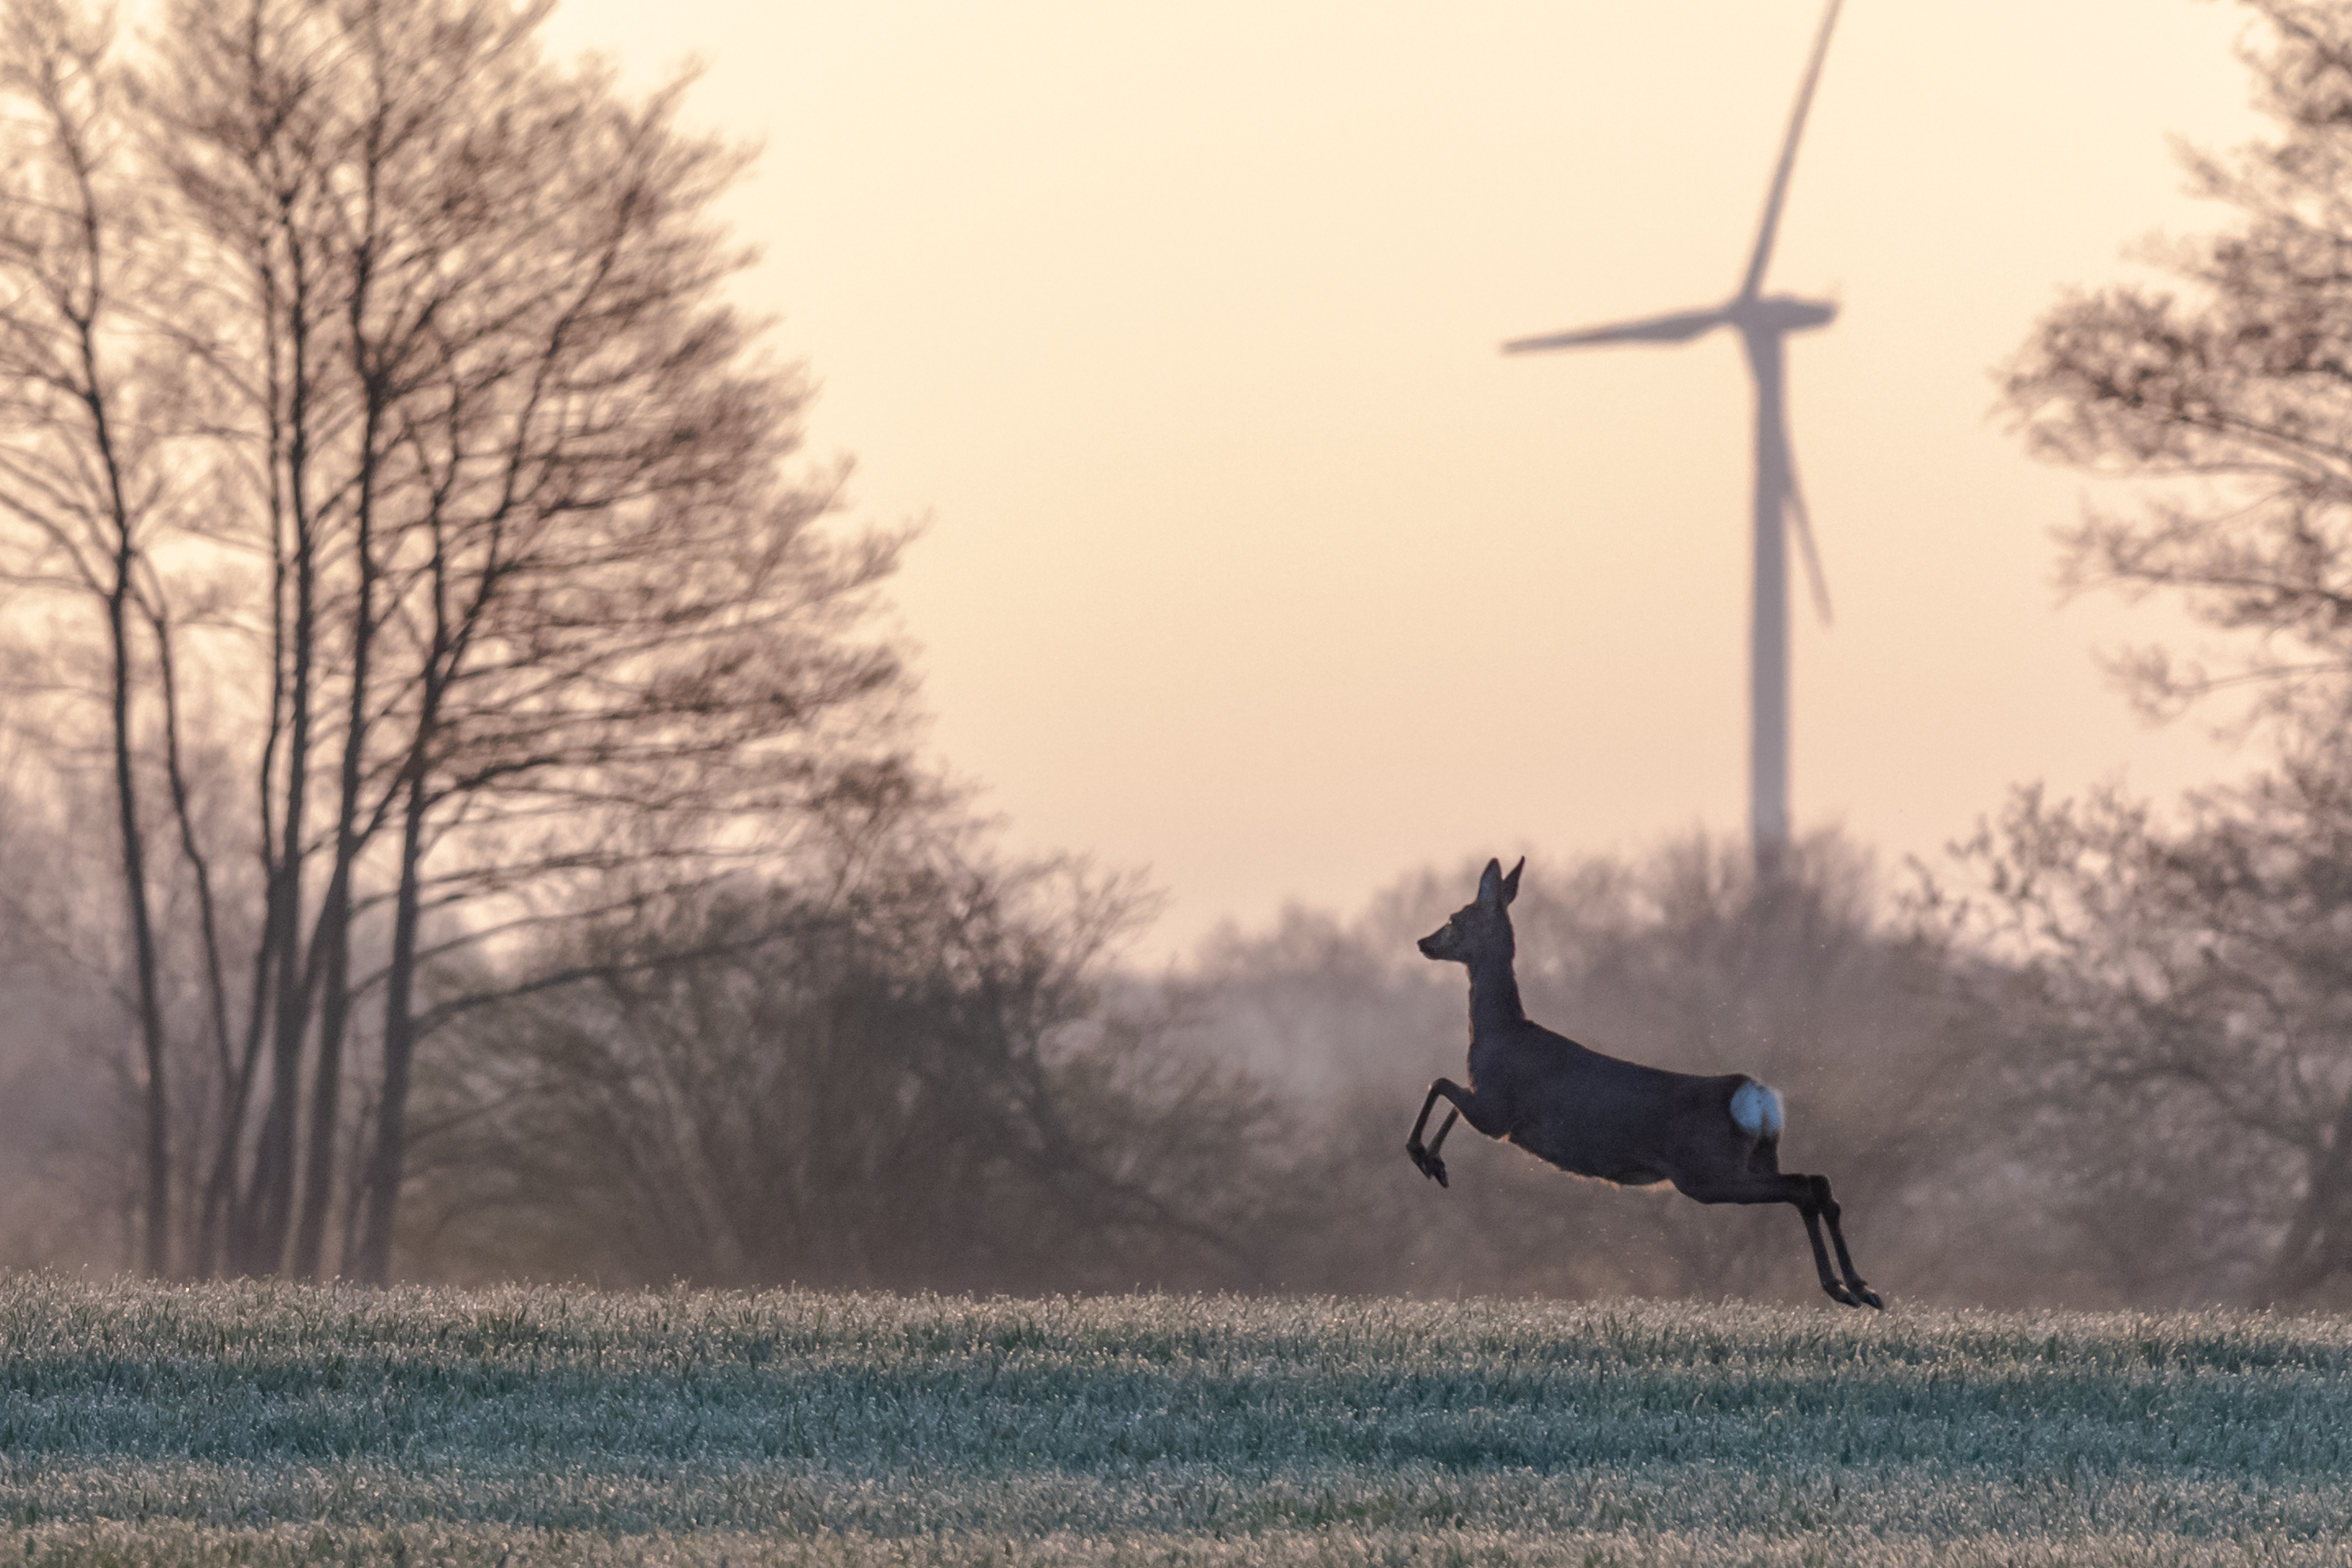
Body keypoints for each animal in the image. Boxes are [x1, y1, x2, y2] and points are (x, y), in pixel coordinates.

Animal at [1404, 857, 1882, 1309]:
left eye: (1454, 918)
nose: (1423, 942)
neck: (1498, 1031)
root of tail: (1757, 1097)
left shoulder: (1497, 1111)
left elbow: (1438, 1083)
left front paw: (1423, 1156)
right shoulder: (1487, 1106)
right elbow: (1447, 1095)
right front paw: (1436, 1162)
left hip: (1707, 1172)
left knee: (1803, 1188)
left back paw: (1845, 1287)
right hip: (1755, 1159)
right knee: (1816, 1183)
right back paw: (1859, 1288)